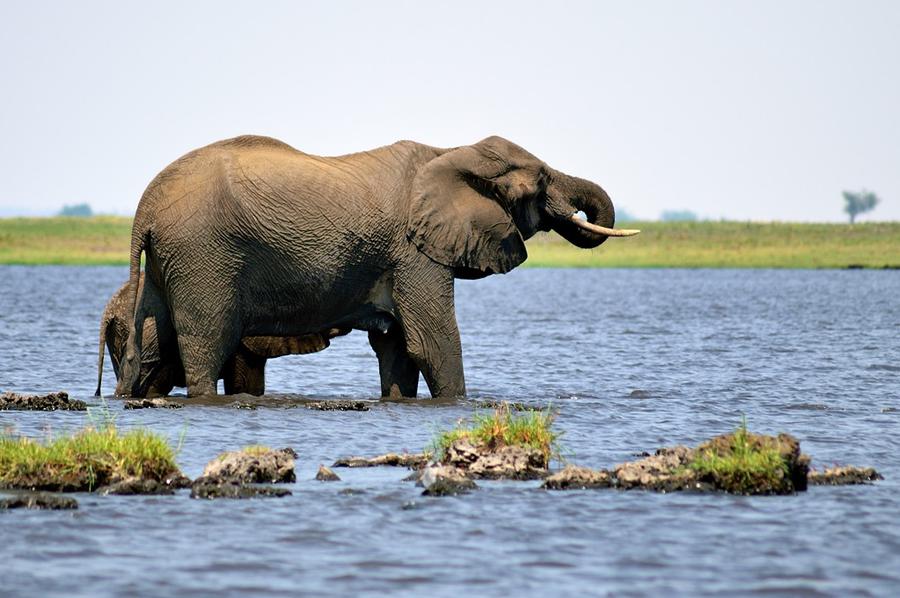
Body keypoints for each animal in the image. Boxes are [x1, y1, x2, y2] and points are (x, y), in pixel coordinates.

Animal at [119, 134, 636, 400]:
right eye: (543, 179)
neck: (451, 148)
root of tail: (145, 205)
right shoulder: (414, 252)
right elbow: (431, 341)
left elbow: (398, 348)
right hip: (204, 254)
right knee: (208, 341)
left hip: (172, 261)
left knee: (153, 342)